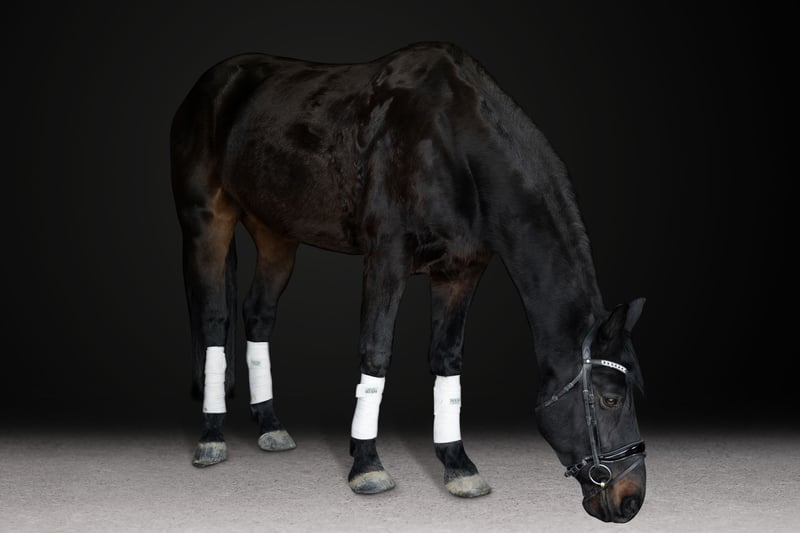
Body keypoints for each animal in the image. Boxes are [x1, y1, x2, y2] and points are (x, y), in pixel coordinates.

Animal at [170, 41, 647, 523]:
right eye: (610, 399)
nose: (631, 499)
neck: (453, 145)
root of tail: (212, 83)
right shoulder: (387, 260)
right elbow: (376, 354)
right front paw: (367, 464)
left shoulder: (461, 272)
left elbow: (447, 360)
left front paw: (458, 465)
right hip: (207, 223)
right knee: (213, 321)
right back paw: (212, 437)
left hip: (276, 232)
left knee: (258, 314)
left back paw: (270, 425)